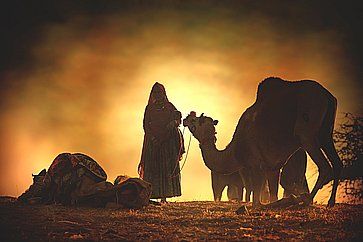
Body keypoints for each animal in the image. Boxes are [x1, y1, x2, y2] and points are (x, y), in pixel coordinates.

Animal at [185, 77, 344, 206]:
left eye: (195, 120)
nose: (186, 118)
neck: (235, 151)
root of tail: (327, 96)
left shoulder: (255, 165)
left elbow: (257, 201)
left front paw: (290, 200)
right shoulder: (272, 167)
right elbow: (273, 194)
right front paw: (283, 201)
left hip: (306, 131)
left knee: (324, 167)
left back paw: (307, 200)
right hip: (325, 134)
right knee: (337, 163)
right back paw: (329, 202)